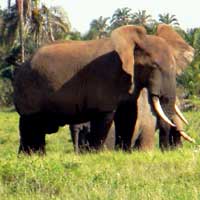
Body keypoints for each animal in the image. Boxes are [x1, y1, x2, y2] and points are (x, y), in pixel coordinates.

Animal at [12, 24, 194, 154]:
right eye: (153, 66)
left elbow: (128, 115)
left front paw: (123, 153)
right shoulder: (106, 77)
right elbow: (105, 116)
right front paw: (98, 155)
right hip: (28, 88)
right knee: (31, 125)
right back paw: (31, 157)